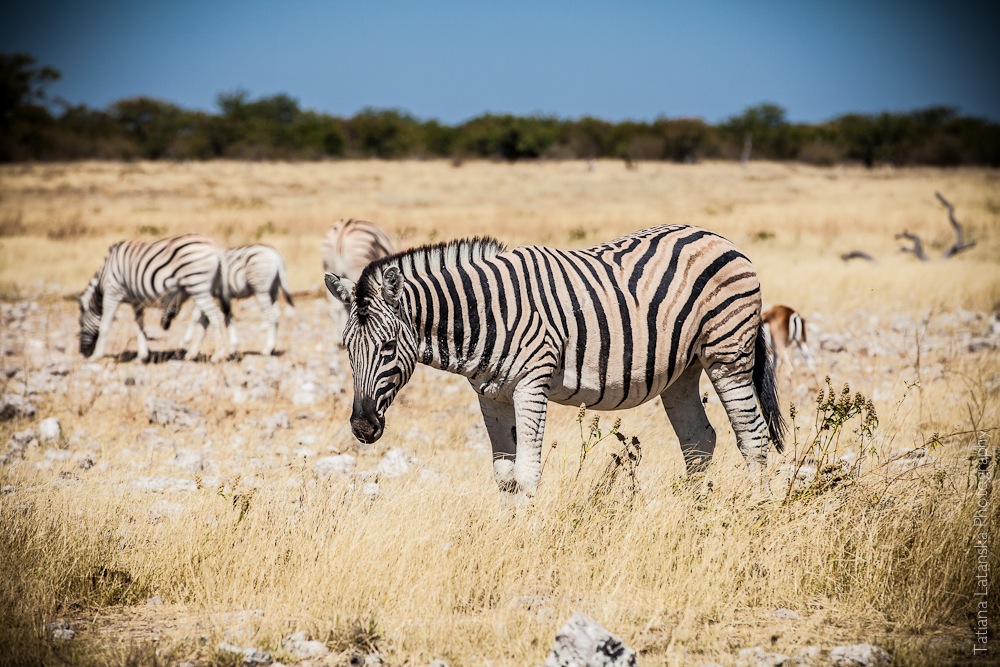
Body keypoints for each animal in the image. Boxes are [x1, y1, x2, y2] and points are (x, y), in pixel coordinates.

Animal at [78, 234, 234, 362]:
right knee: (205, 319)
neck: (103, 277)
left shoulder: (112, 292)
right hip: (206, 289)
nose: (82, 352)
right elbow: (139, 327)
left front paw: (96, 356)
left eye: (80, 323)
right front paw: (142, 356)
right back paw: (191, 354)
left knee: (216, 316)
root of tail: (215, 245)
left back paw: (217, 355)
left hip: (197, 285)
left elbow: (105, 325)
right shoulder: (136, 302)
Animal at [162, 245, 294, 358]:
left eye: (161, 304)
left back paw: (267, 349)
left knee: (271, 316)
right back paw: (272, 348)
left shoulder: (203, 293)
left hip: (261, 290)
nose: (163, 326)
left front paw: (183, 343)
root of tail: (275, 253)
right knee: (277, 315)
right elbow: (212, 320)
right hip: (273, 291)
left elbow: (195, 318)